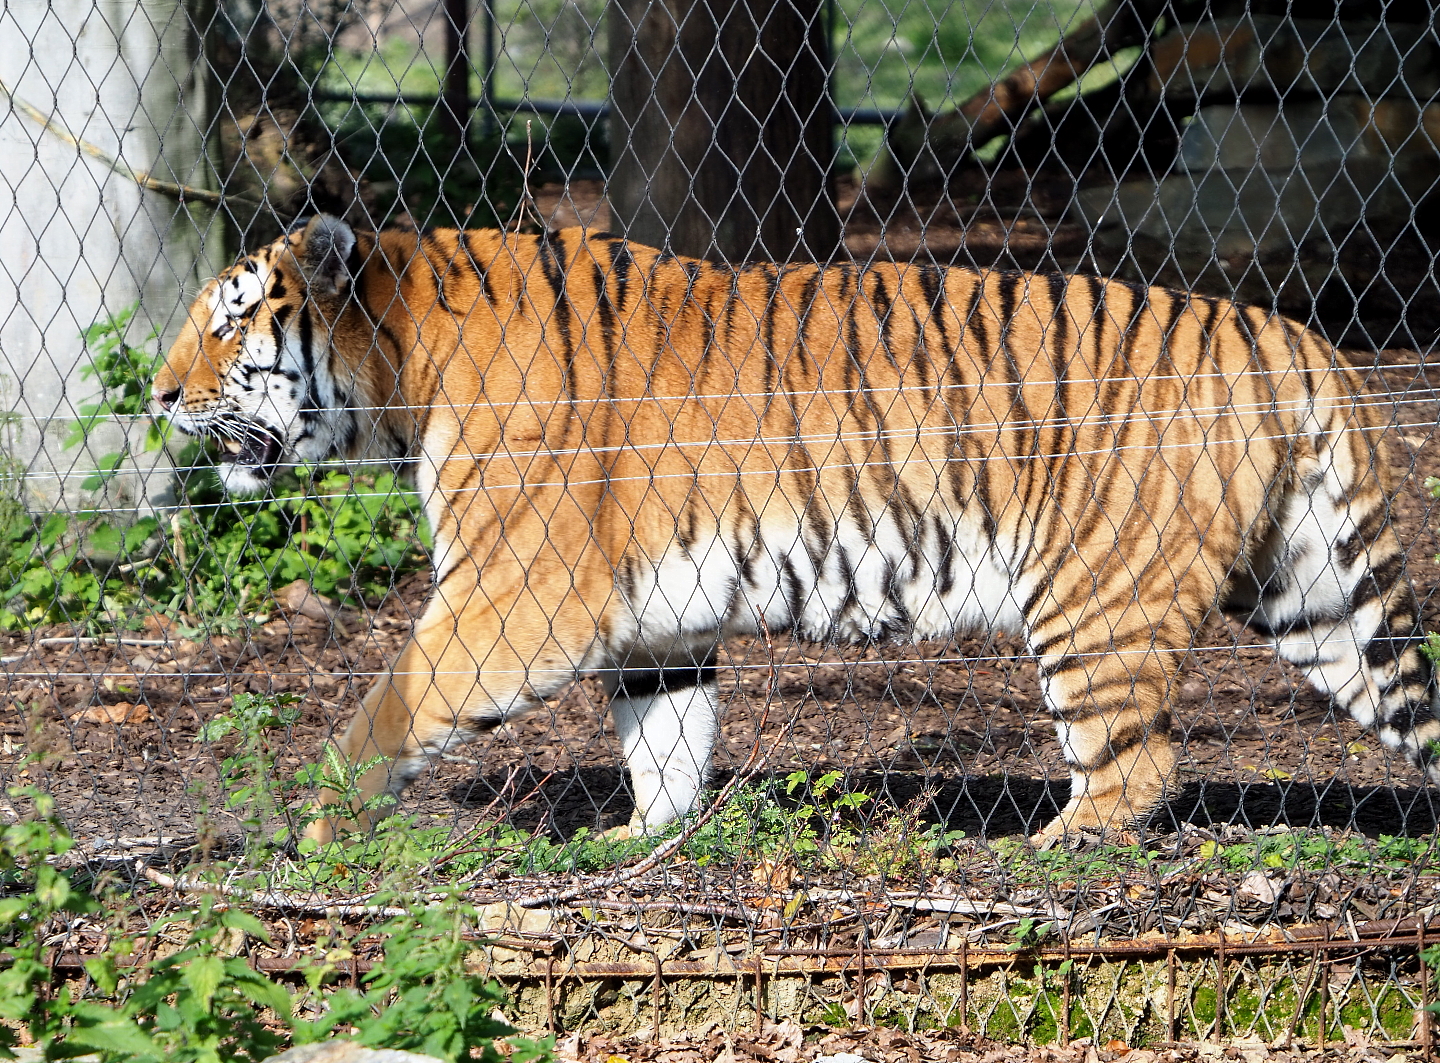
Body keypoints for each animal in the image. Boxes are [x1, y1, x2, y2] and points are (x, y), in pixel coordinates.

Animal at [152, 214, 1440, 844]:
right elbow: (667, 738)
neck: (402, 367)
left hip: (1097, 595)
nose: (160, 396)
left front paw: (316, 817)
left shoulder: (515, 592)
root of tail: (1297, 339)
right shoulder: (652, 615)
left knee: (1136, 765)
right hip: (1312, 592)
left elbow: (392, 699)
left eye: (228, 325)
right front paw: (642, 839)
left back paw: (1049, 850)